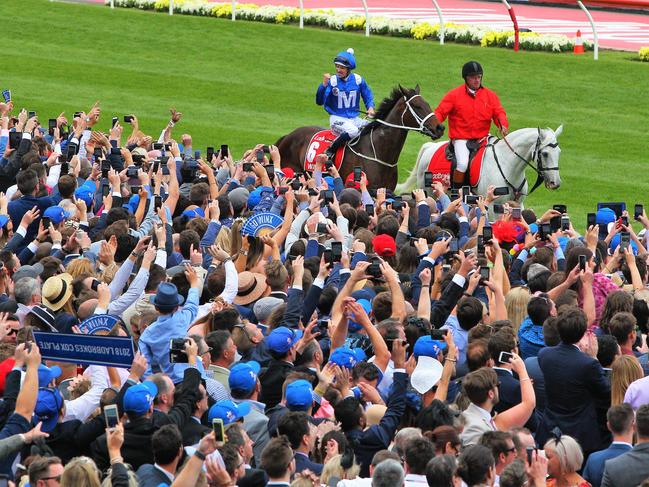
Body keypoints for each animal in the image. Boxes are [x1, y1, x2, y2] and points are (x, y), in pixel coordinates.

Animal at [394, 126, 560, 206]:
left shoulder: (518, 204)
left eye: (559, 152)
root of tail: (429, 147)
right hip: (430, 193)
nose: (555, 183)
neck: (507, 165)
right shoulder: (492, 205)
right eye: (545, 154)